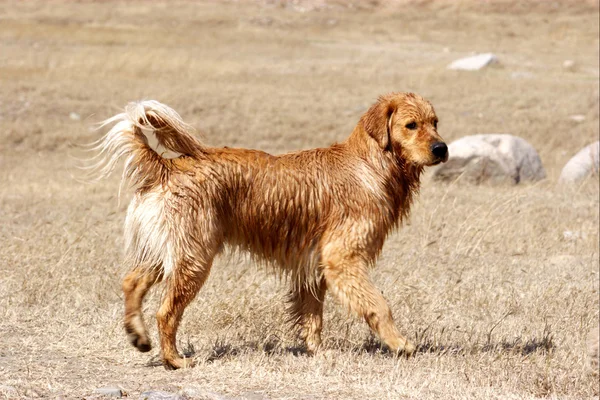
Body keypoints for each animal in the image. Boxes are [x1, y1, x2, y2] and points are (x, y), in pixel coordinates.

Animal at [89, 92, 446, 370]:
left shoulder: (314, 265)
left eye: (435, 122)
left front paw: (318, 352)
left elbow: (313, 317)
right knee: (165, 312)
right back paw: (174, 360)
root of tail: (167, 166)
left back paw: (138, 335)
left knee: (131, 281)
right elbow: (378, 305)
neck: (371, 164)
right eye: (411, 125)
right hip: (194, 259)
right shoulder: (342, 259)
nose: (442, 149)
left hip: (168, 253)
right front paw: (400, 343)